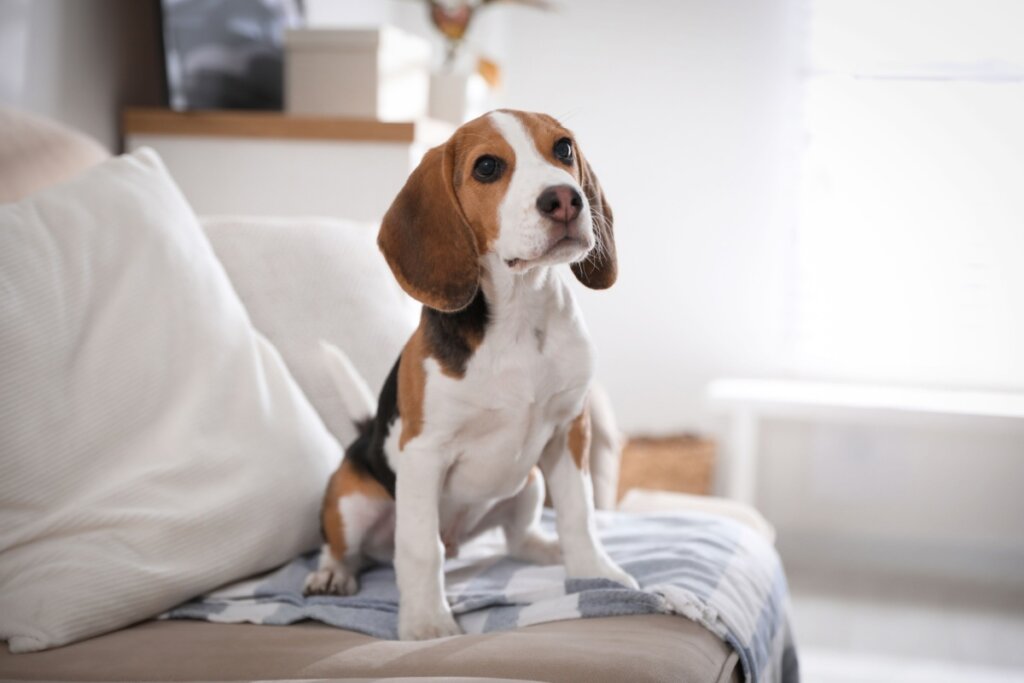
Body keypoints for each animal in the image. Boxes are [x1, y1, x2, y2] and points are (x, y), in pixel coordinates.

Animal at [299, 108, 634, 643]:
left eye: (563, 149)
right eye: (487, 167)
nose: (565, 199)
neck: (519, 311)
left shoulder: (569, 431)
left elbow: (579, 514)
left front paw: (595, 573)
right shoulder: (423, 454)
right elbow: (420, 549)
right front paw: (426, 623)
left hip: (529, 482)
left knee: (518, 538)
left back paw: (548, 549)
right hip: (350, 498)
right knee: (345, 547)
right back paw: (332, 574)